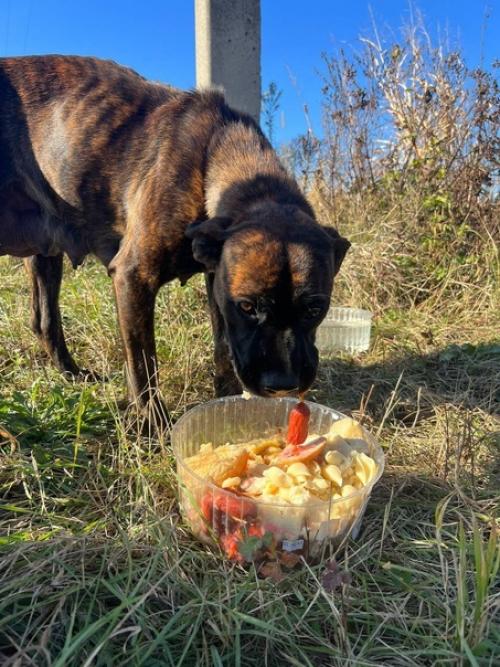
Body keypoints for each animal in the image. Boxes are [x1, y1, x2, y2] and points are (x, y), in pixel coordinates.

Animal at [0, 54, 350, 426]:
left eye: (315, 309)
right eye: (246, 307)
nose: (282, 385)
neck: (213, 149)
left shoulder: (215, 279)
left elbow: (223, 347)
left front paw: (226, 406)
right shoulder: (133, 277)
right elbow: (143, 364)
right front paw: (156, 424)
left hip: (46, 253)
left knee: (44, 320)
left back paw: (73, 373)